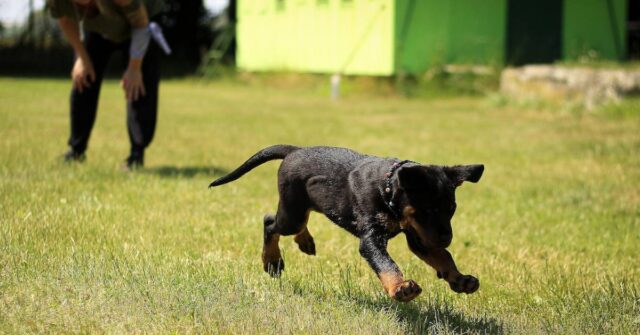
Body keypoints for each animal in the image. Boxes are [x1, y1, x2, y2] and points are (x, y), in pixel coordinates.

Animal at [210, 146, 484, 304]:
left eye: (451, 210)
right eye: (428, 210)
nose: (447, 238)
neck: (387, 190)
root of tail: (295, 150)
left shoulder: (420, 236)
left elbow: (443, 257)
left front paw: (460, 279)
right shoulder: (372, 239)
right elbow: (387, 264)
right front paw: (400, 288)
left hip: (306, 204)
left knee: (297, 220)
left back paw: (305, 241)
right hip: (292, 212)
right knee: (270, 222)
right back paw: (272, 261)